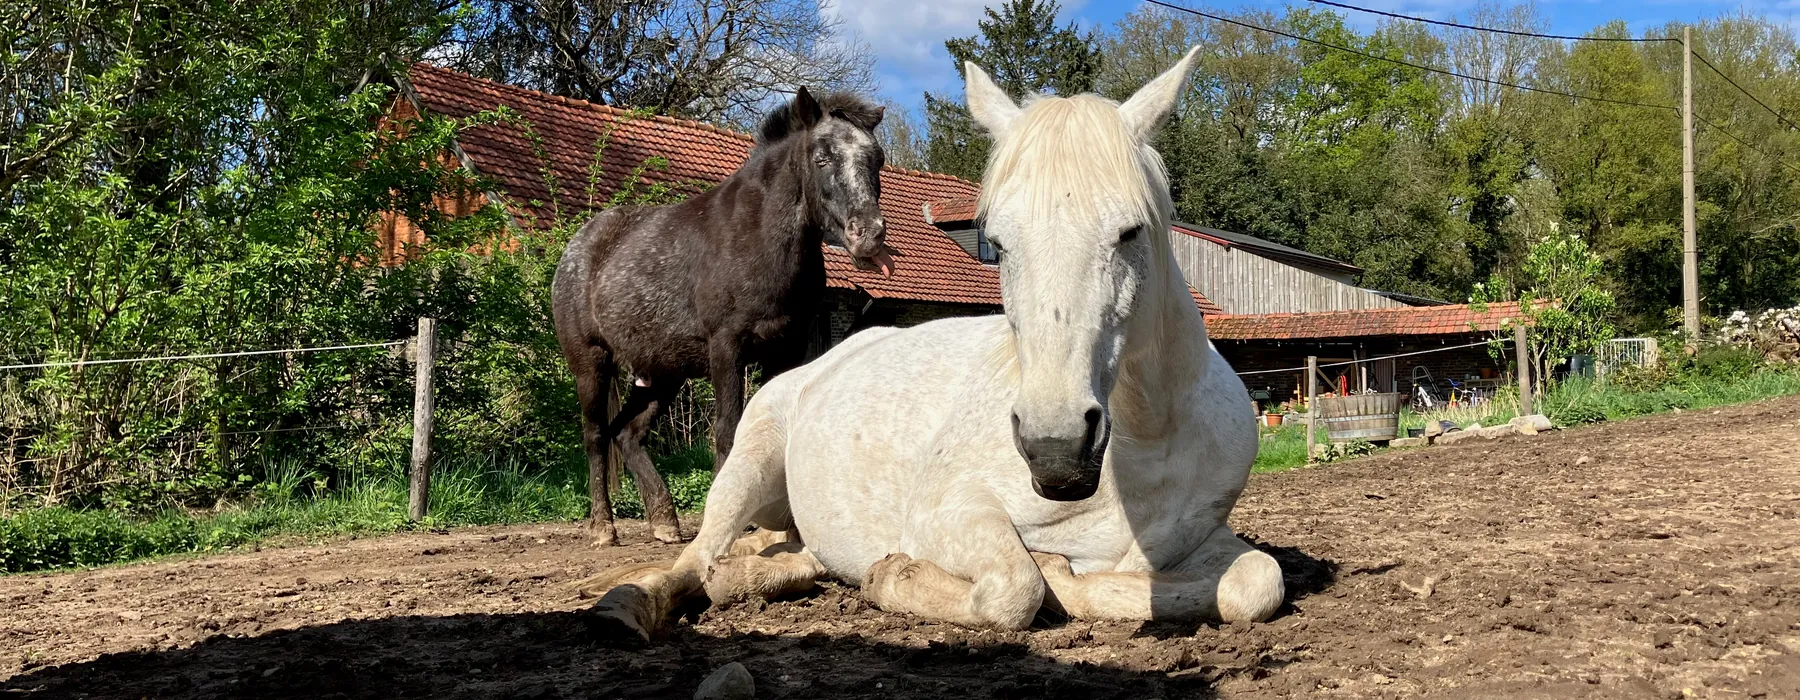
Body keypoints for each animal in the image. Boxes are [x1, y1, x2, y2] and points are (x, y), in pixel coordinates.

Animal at [552, 87, 894, 546]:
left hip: (663, 374)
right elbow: (728, 429)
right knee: (594, 436)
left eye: (877, 159)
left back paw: (664, 521)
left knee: (627, 433)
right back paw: (603, 526)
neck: (757, 237)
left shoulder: (785, 349)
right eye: (821, 157)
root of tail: (578, 246)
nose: (869, 235)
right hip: (591, 363)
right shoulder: (726, 349)